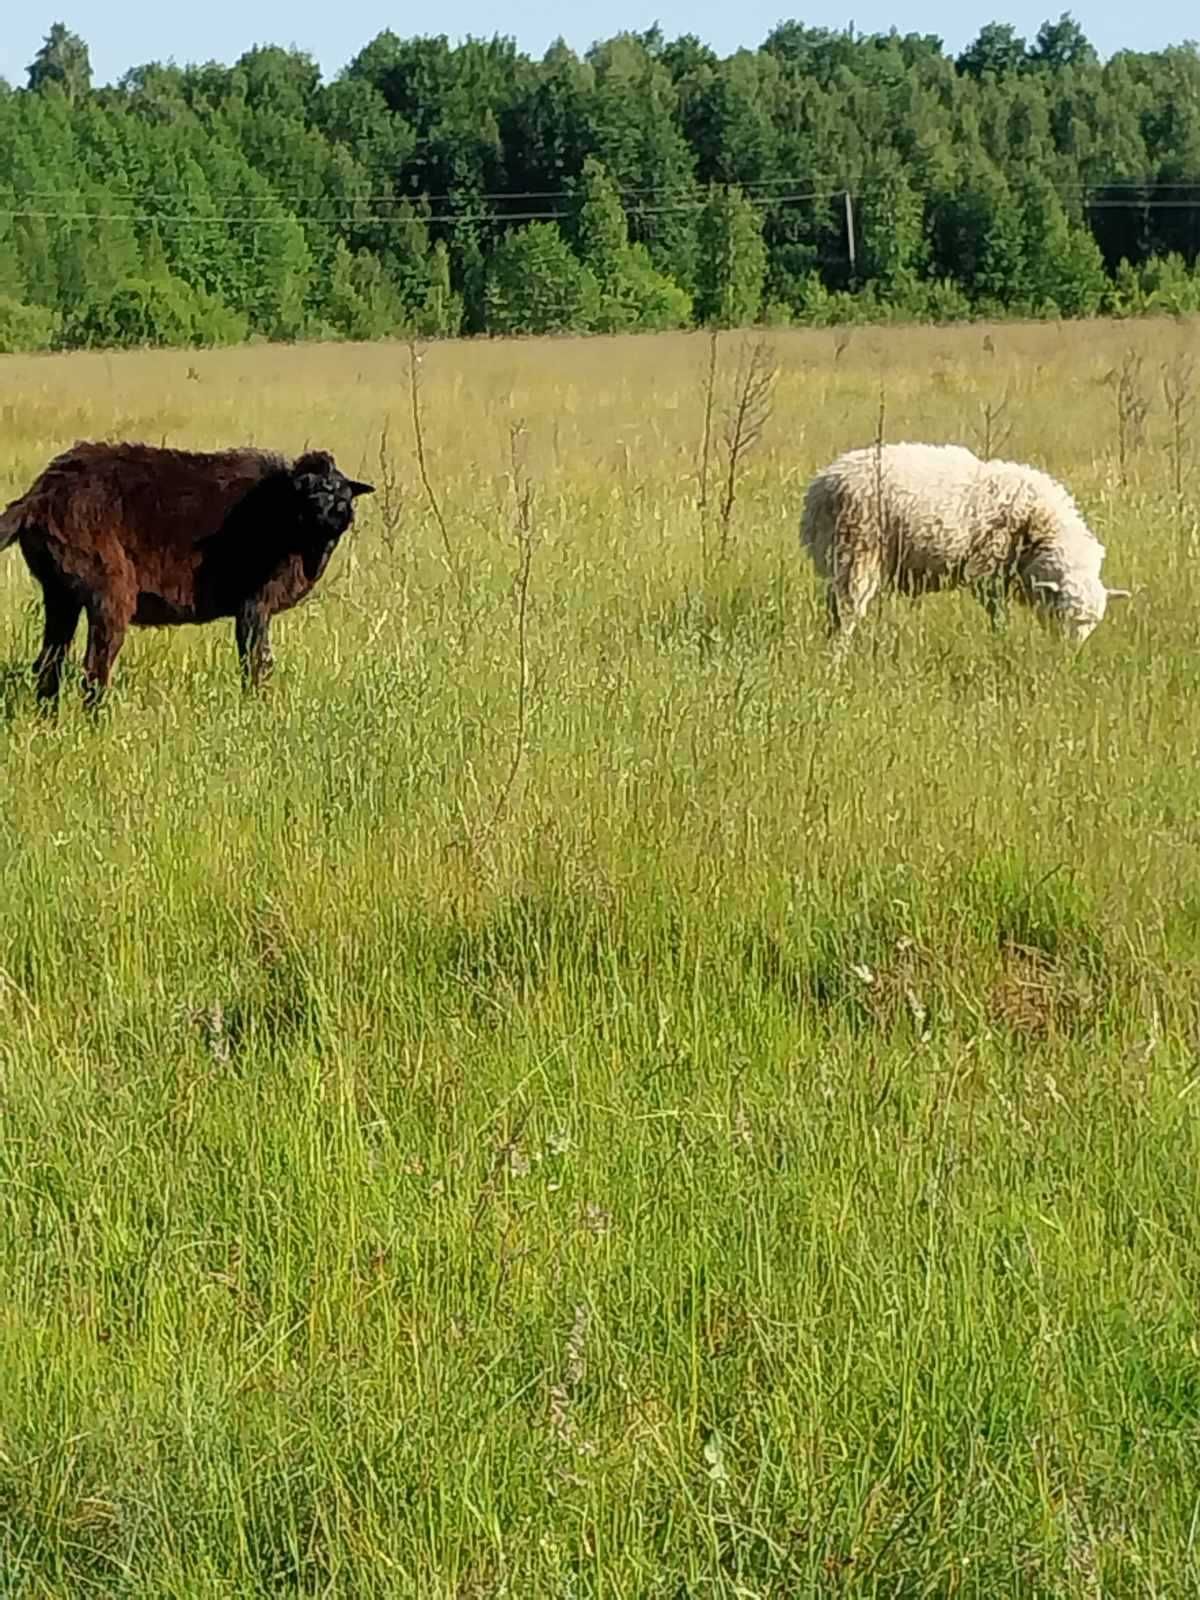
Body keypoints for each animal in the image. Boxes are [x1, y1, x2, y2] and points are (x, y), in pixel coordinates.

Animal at [803, 441, 1132, 646]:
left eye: (1093, 622)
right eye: (1062, 615)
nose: (1069, 655)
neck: (1039, 526)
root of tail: (821, 486)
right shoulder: (988, 573)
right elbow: (998, 617)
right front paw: (1000, 642)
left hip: (841, 559)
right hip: (856, 551)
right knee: (847, 614)